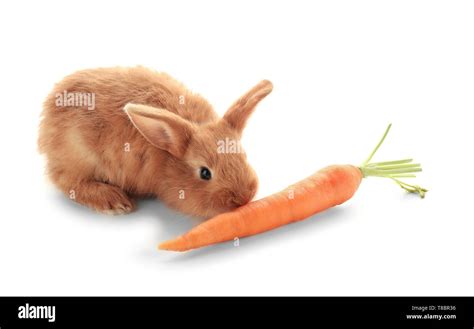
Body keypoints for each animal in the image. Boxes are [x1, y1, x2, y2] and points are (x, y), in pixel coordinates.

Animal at [39, 65, 272, 217]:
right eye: (205, 173)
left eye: (244, 156)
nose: (244, 198)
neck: (167, 160)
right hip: (80, 155)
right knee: (66, 180)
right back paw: (114, 201)